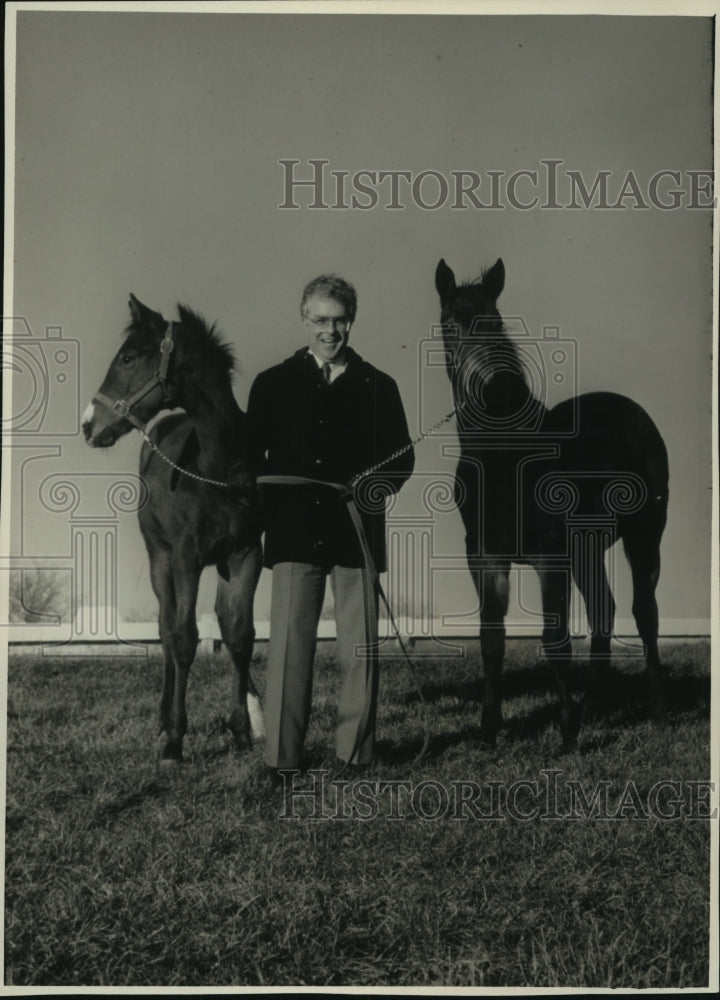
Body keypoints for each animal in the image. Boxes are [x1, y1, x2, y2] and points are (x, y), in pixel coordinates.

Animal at [82, 292, 262, 760]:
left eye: (128, 357)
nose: (88, 424)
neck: (217, 470)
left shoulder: (245, 555)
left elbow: (240, 635)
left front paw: (241, 730)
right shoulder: (185, 556)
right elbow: (182, 637)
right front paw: (176, 740)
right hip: (159, 559)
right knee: (165, 627)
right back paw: (164, 721)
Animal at [436, 262, 672, 748]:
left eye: (497, 322)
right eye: (451, 325)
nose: (498, 386)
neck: (504, 458)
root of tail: (630, 408)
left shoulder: (550, 555)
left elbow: (555, 638)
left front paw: (565, 734)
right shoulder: (483, 555)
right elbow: (491, 638)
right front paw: (490, 729)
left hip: (644, 535)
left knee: (645, 613)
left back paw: (655, 710)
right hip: (587, 548)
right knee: (604, 611)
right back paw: (594, 707)